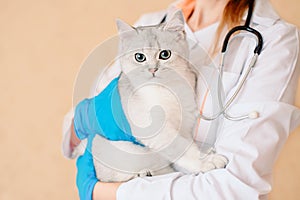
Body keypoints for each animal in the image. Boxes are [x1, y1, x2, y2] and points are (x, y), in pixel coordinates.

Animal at [91, 10, 227, 183]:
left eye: (165, 54)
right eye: (139, 57)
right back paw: (144, 173)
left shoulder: (184, 122)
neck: (166, 89)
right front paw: (204, 161)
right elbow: (182, 148)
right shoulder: (156, 130)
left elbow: (187, 144)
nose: (152, 69)